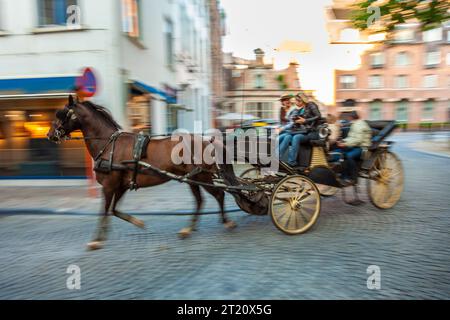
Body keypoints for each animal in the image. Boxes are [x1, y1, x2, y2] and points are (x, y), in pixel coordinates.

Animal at [47, 95, 237, 250]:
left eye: (61, 114)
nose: (50, 135)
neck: (108, 145)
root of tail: (207, 141)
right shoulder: (121, 186)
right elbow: (114, 210)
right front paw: (138, 222)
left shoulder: (109, 186)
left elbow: (105, 210)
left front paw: (96, 240)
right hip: (192, 179)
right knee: (200, 200)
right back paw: (189, 228)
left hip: (201, 176)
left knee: (218, 195)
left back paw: (226, 222)